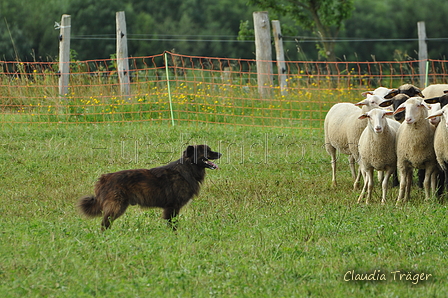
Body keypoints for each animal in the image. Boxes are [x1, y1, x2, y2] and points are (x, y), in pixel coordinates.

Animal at [79, 145, 223, 230]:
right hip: (116, 206)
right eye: (207, 151)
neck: (188, 168)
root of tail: (104, 179)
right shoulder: (173, 207)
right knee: (105, 224)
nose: (220, 154)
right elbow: (173, 225)